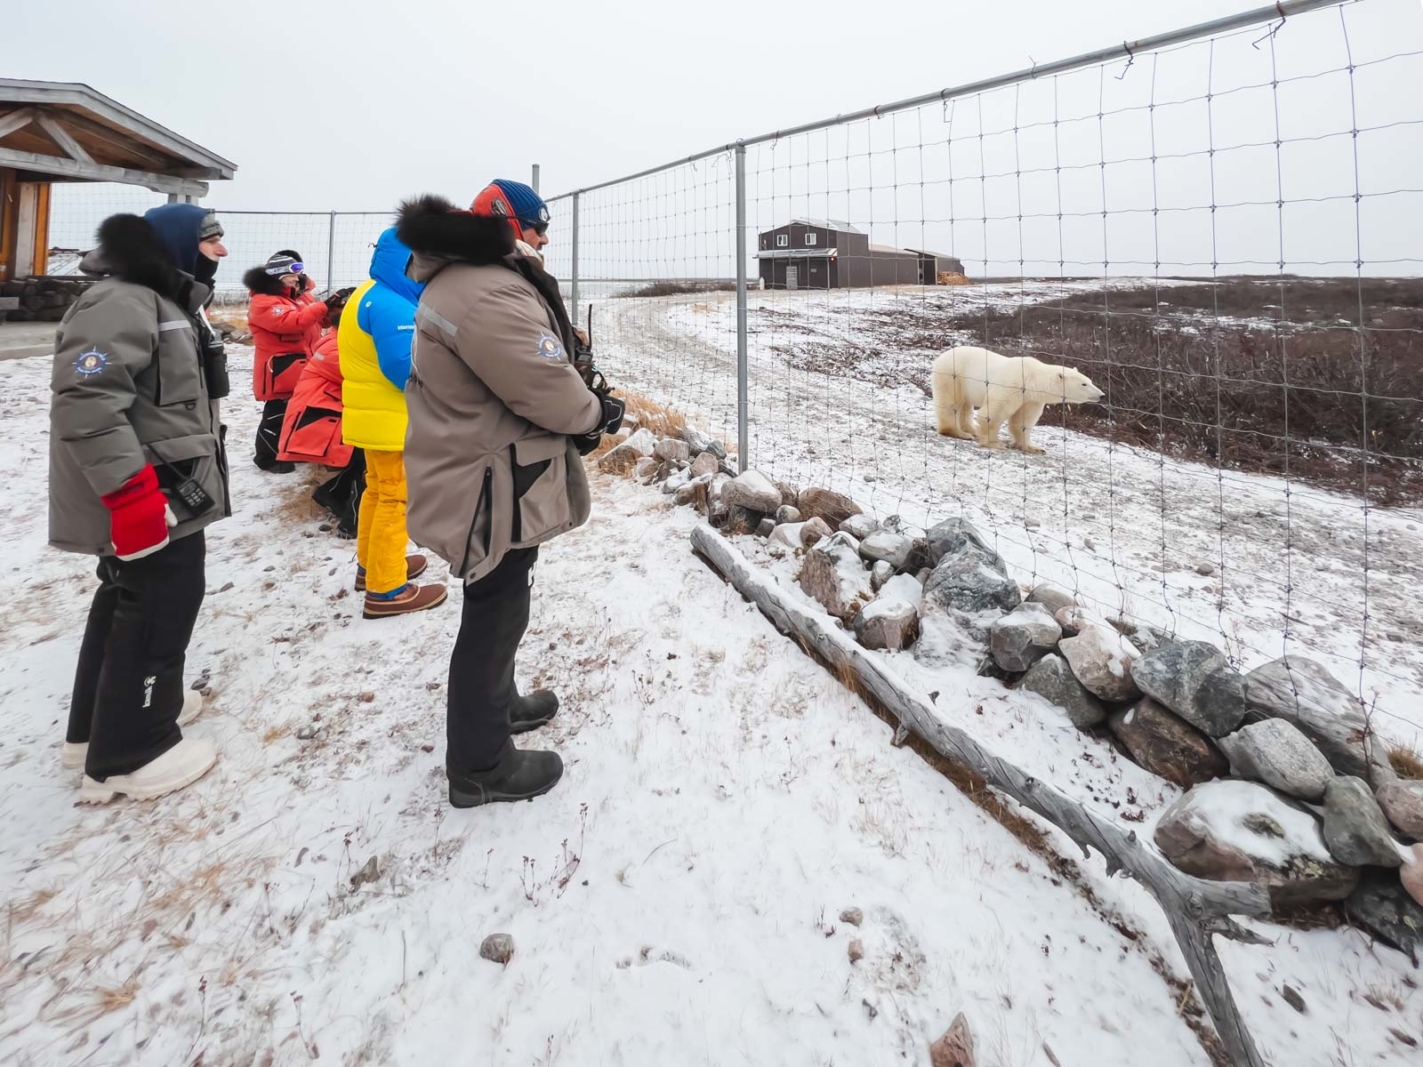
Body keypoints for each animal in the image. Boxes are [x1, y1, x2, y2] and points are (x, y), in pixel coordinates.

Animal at [927, 347, 1104, 455]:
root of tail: (941, 356)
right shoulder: (1012, 385)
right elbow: (994, 413)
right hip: (953, 375)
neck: (1031, 378)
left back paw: (972, 430)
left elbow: (1022, 421)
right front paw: (996, 443)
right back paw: (959, 433)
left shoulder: (1031, 398)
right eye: (1084, 384)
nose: (1102, 395)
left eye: (1090, 381)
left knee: (965, 406)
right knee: (950, 403)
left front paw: (1034, 448)